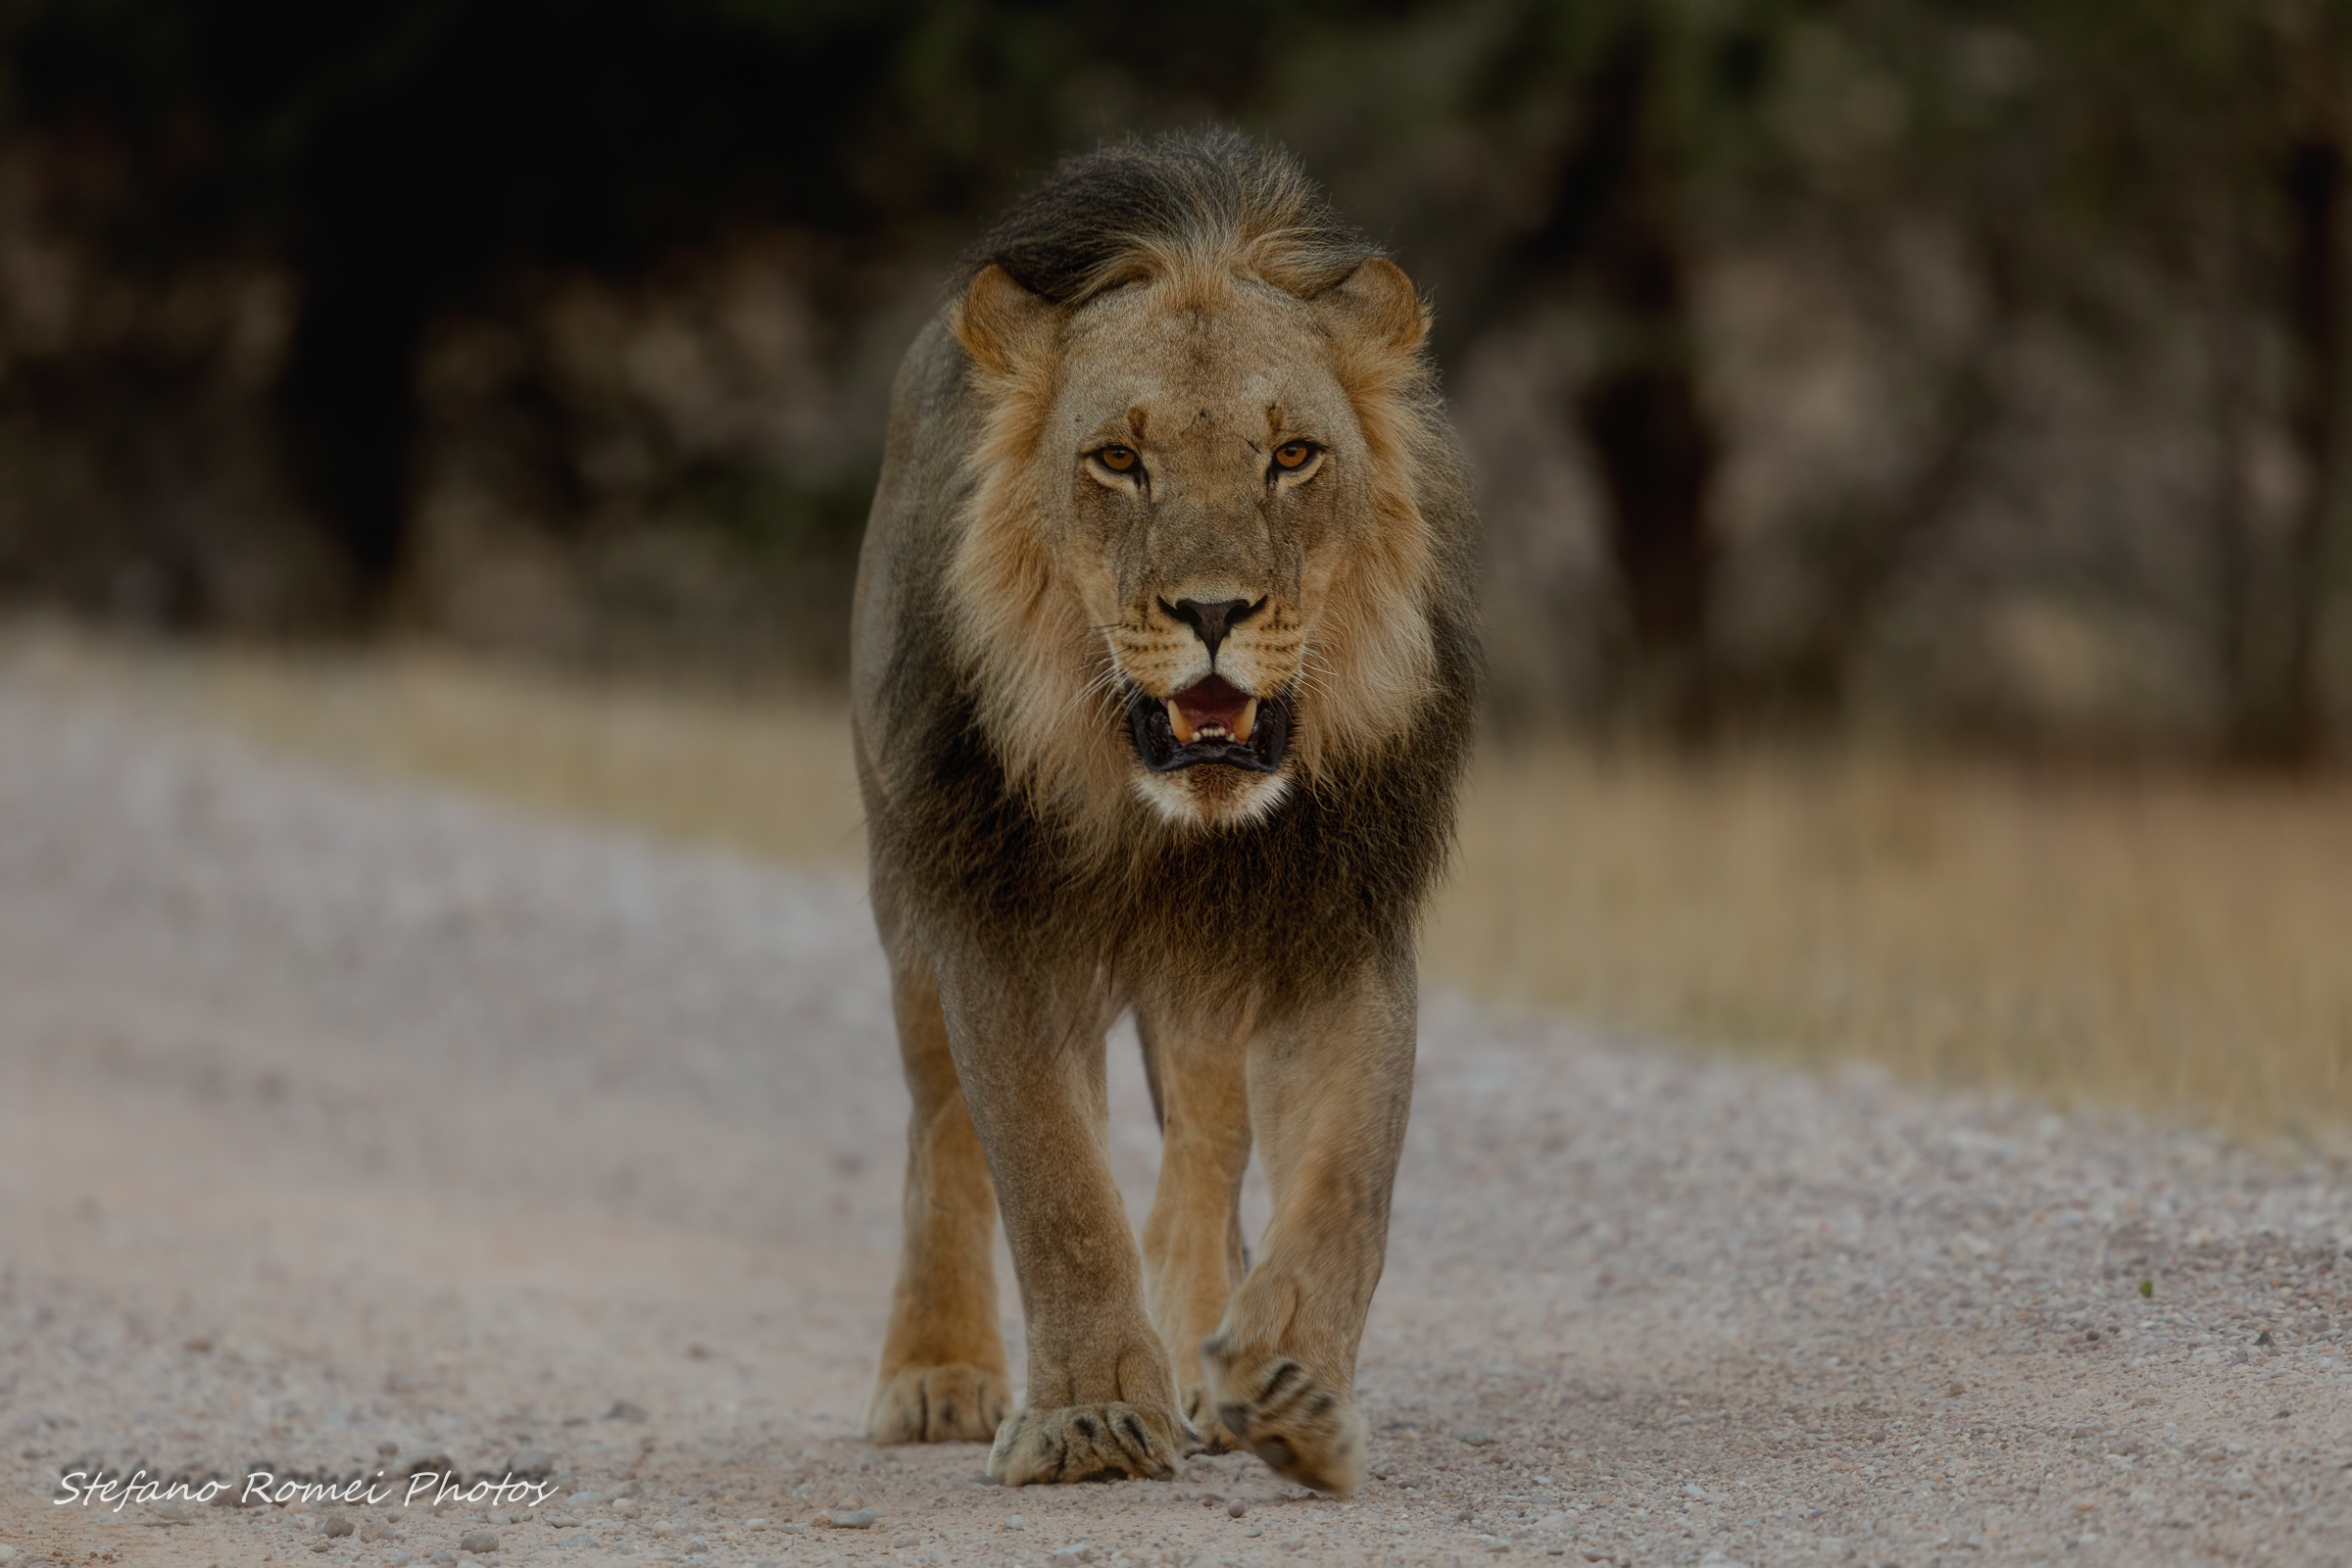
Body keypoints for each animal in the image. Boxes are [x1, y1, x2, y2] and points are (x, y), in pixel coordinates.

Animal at [848, 130, 1478, 1497]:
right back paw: (936, 1371)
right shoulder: (999, 923)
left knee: (1204, 1142)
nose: (1213, 611)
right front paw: (1088, 1417)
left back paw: (1203, 1355)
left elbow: (1347, 1181)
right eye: (1117, 460)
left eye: (1292, 456)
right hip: (903, 888)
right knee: (937, 1122)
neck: (1165, 820)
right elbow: (1053, 1183)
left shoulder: (1331, 924)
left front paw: (1292, 1387)